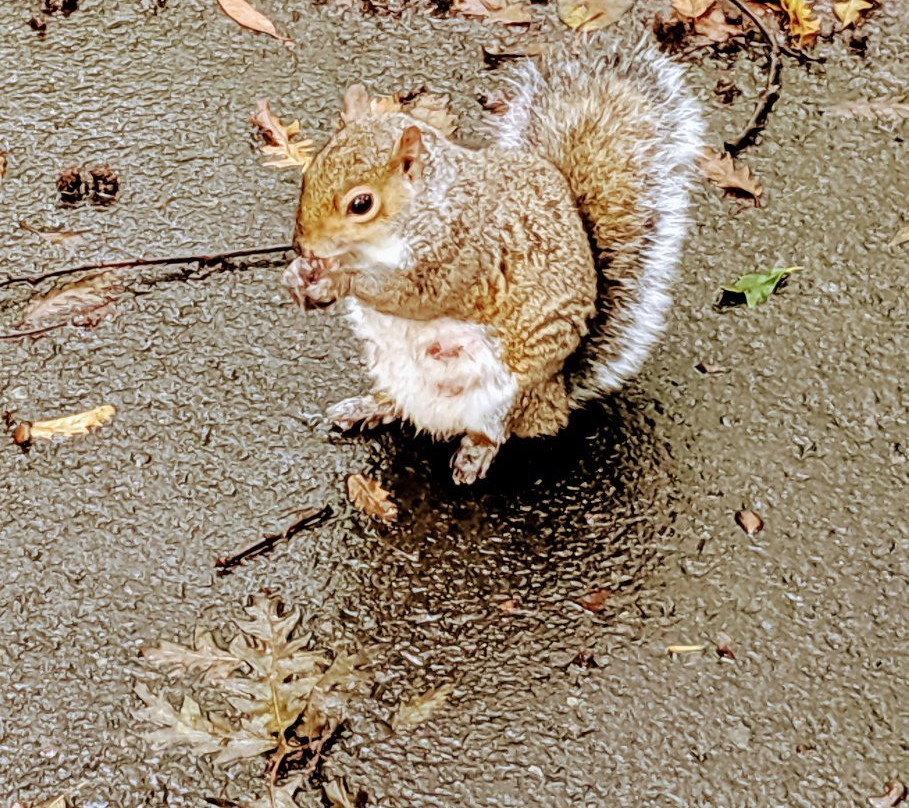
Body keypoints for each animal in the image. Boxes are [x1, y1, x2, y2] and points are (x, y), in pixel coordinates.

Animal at [282, 34, 704, 482]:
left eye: (361, 204)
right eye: (310, 171)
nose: (302, 245)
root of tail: (555, 396)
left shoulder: (460, 255)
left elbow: (408, 295)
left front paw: (337, 279)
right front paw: (299, 275)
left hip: (506, 394)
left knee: (498, 429)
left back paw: (474, 453)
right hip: (393, 371)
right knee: (401, 406)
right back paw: (369, 407)